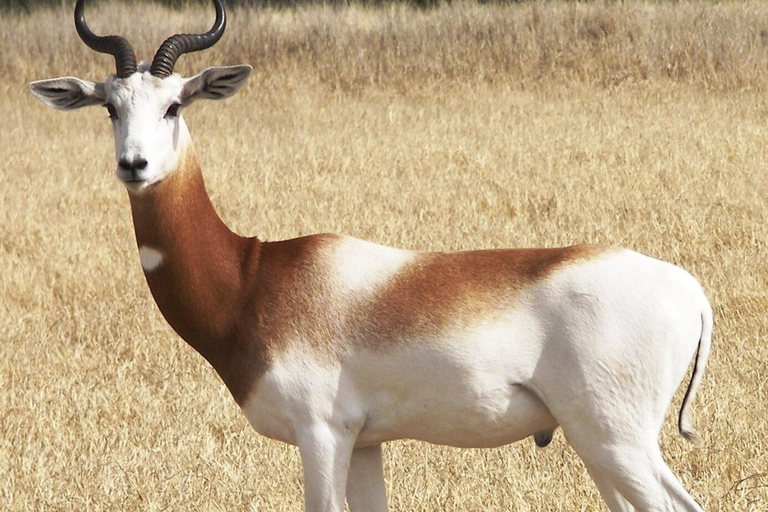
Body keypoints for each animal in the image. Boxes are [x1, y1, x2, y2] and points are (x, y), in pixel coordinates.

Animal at [31, 2, 712, 510]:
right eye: (110, 106)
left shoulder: (320, 435)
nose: (135, 165)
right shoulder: (363, 444)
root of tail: (692, 292)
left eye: (174, 104)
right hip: (597, 445)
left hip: (615, 439)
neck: (254, 279)